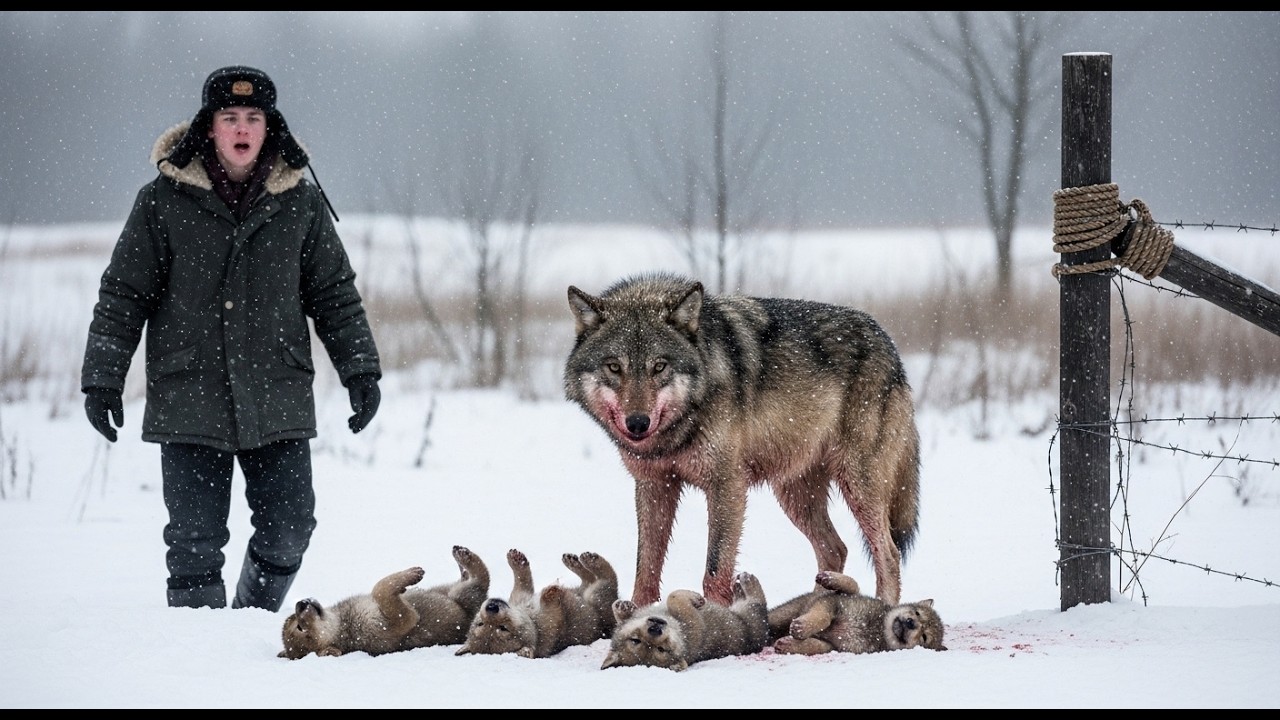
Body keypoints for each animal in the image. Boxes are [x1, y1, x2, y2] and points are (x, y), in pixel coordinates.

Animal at [277, 545, 489, 659]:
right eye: (300, 628)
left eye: (294, 619)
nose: (300, 603)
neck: (342, 626)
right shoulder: (401, 620)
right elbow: (379, 589)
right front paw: (411, 575)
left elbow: (381, 588)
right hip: (465, 594)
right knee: (482, 579)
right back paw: (464, 556)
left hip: (449, 589)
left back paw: (461, 560)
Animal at [455, 548, 618, 659]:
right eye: (503, 628)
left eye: (479, 623)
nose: (491, 607)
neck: (532, 620)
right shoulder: (550, 625)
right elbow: (554, 613)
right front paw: (550, 593)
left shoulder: (519, 596)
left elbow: (522, 580)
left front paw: (516, 560)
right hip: (598, 594)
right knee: (608, 579)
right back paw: (590, 559)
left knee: (588, 579)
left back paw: (573, 560)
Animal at [564, 272, 921, 608]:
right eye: (614, 367)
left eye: (659, 366)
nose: (637, 423)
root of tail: (889, 343)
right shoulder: (654, 484)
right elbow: (646, 566)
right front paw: (637, 616)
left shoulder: (727, 485)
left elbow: (714, 570)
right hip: (795, 494)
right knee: (835, 548)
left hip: (857, 485)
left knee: (888, 553)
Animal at [600, 571, 768, 671]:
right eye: (661, 649)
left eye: (635, 640)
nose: (655, 628)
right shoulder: (692, 622)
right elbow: (673, 597)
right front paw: (698, 599)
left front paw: (623, 607)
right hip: (750, 613)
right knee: (757, 602)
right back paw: (747, 581)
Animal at [767, 570, 946, 655]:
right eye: (917, 613)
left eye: (924, 637)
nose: (911, 623)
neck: (875, 627)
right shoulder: (834, 601)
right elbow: (852, 586)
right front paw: (829, 578)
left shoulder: (837, 646)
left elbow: (815, 645)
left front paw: (790, 643)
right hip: (782, 614)